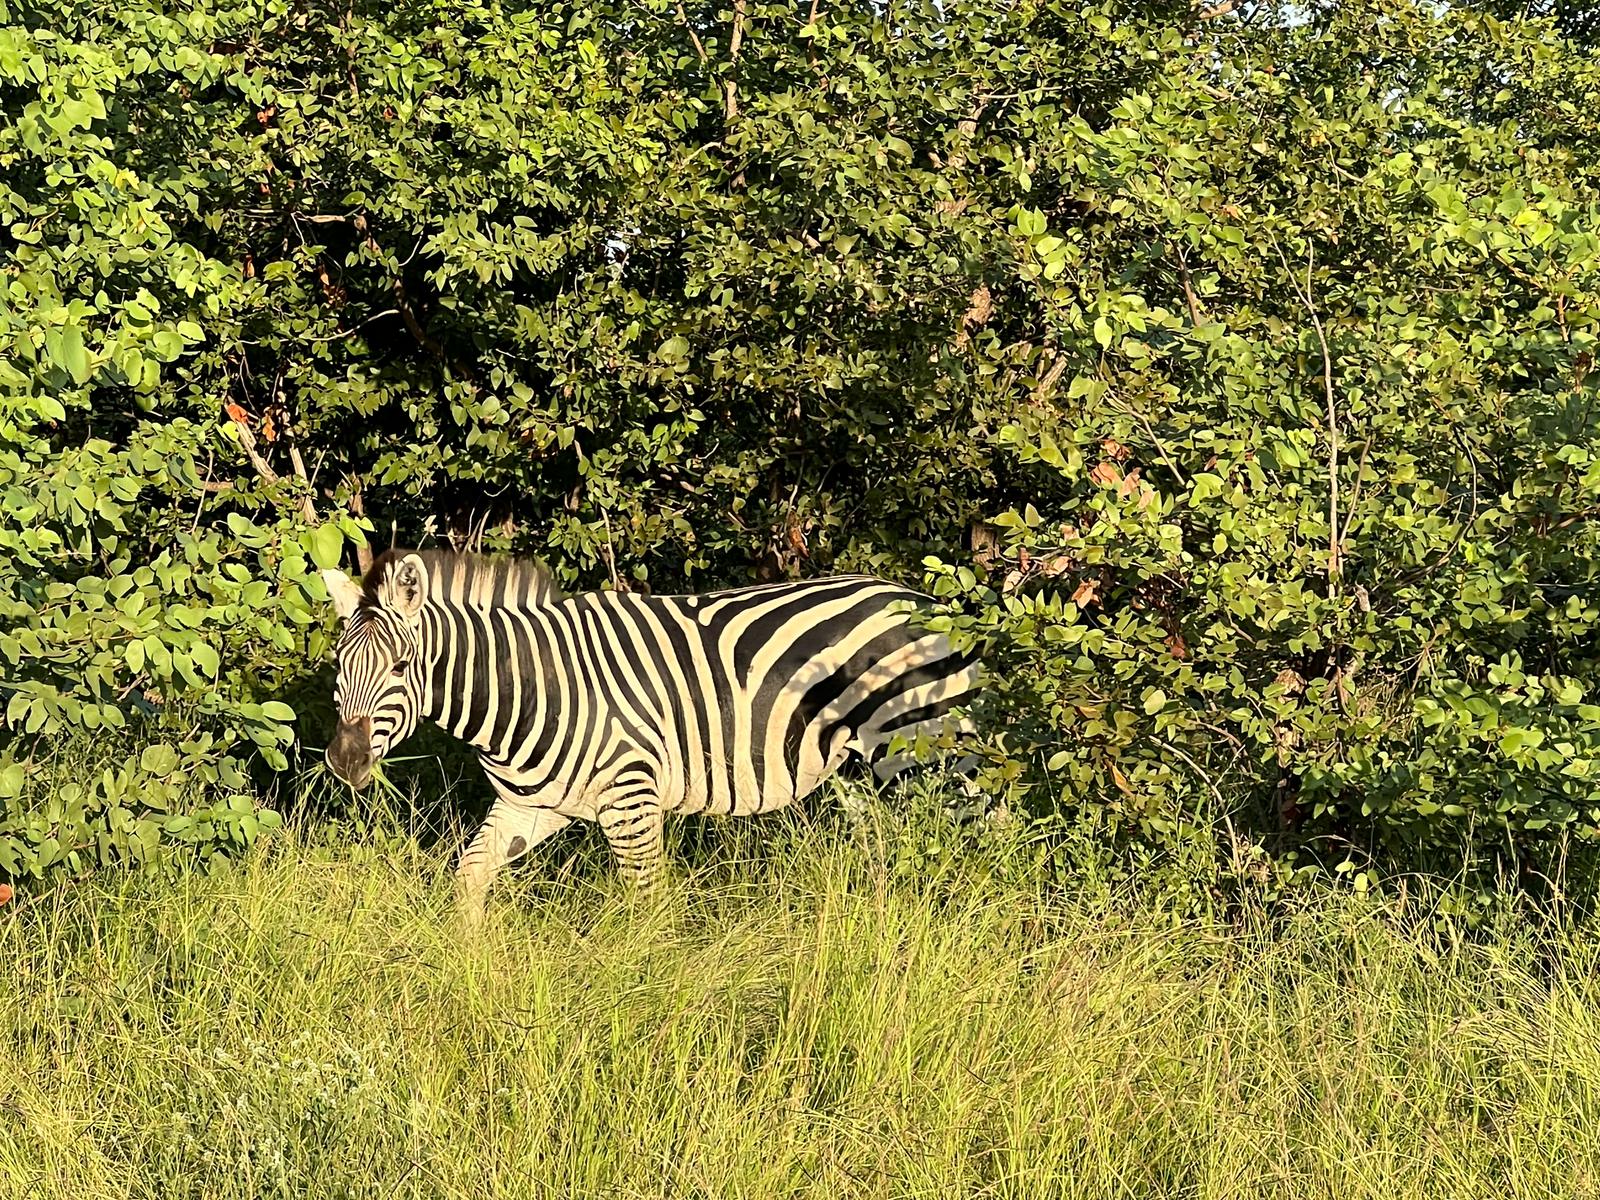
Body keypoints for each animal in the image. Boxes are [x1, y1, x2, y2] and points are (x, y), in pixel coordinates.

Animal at [320, 549, 983, 923]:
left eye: (400, 668)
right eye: (337, 665)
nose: (343, 763)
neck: (529, 688)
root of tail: (924, 599)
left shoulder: (631, 799)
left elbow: (648, 904)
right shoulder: (529, 806)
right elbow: (470, 877)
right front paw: (472, 966)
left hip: (928, 747)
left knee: (972, 840)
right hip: (855, 763)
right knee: (885, 844)